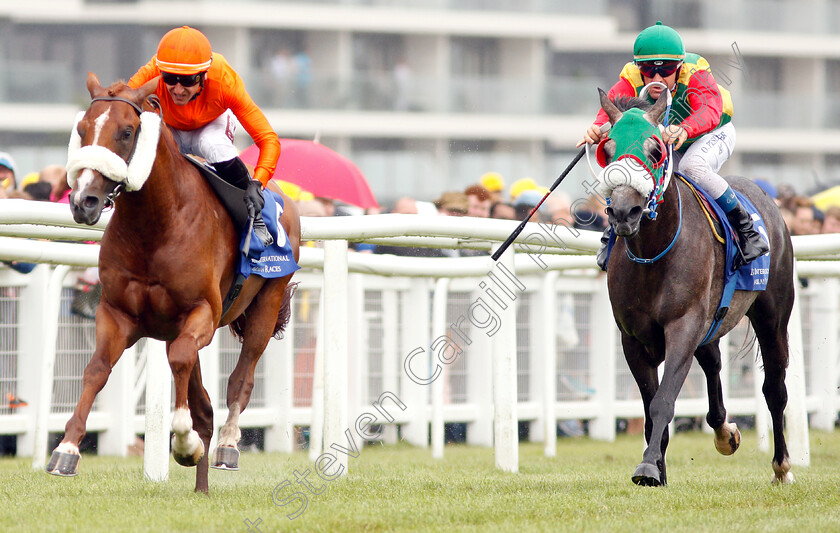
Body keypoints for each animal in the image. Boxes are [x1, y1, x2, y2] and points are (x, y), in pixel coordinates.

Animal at [47, 72, 300, 492]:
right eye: (82, 130)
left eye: (127, 131)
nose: (83, 201)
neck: (156, 224)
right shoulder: (117, 314)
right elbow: (97, 369)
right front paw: (66, 449)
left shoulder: (202, 313)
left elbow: (181, 362)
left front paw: (184, 443)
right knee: (204, 403)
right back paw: (201, 486)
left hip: (266, 302)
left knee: (241, 378)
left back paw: (227, 446)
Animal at [596, 90, 796, 486]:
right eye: (607, 150)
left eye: (655, 150)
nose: (624, 212)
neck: (653, 254)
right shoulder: (633, 339)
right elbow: (650, 404)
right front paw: (657, 467)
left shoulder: (683, 326)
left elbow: (663, 401)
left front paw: (648, 467)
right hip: (713, 322)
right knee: (714, 364)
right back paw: (725, 433)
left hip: (773, 316)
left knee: (774, 388)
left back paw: (782, 467)